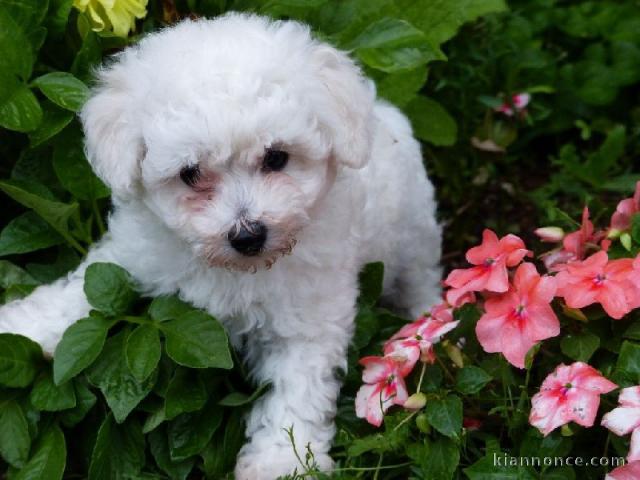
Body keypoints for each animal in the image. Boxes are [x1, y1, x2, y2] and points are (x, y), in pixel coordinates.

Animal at [0, 13, 440, 478]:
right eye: (190, 173)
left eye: (276, 158)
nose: (248, 235)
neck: (233, 269)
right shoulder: (132, 255)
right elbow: (77, 294)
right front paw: (21, 327)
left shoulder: (309, 317)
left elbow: (297, 390)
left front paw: (281, 460)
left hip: (414, 232)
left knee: (421, 280)